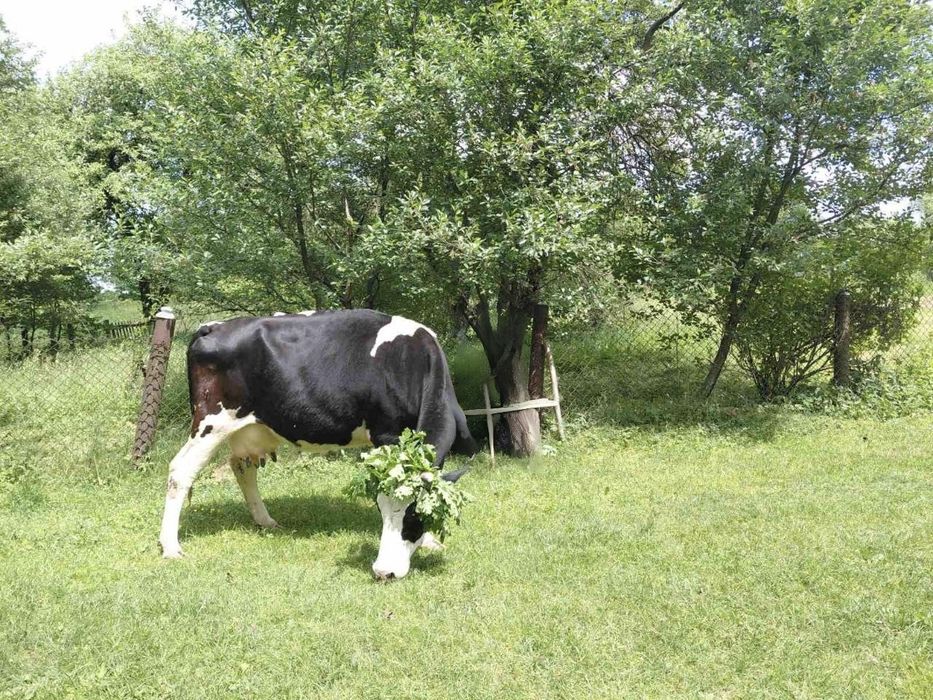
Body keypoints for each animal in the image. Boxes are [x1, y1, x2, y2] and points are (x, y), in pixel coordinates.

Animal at [158, 309, 477, 579]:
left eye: (415, 515)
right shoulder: (386, 435)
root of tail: (212, 326)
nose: (383, 571)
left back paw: (265, 520)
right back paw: (171, 547)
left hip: (247, 428)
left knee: (242, 468)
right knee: (181, 470)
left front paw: (431, 541)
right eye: (381, 509)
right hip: (210, 422)